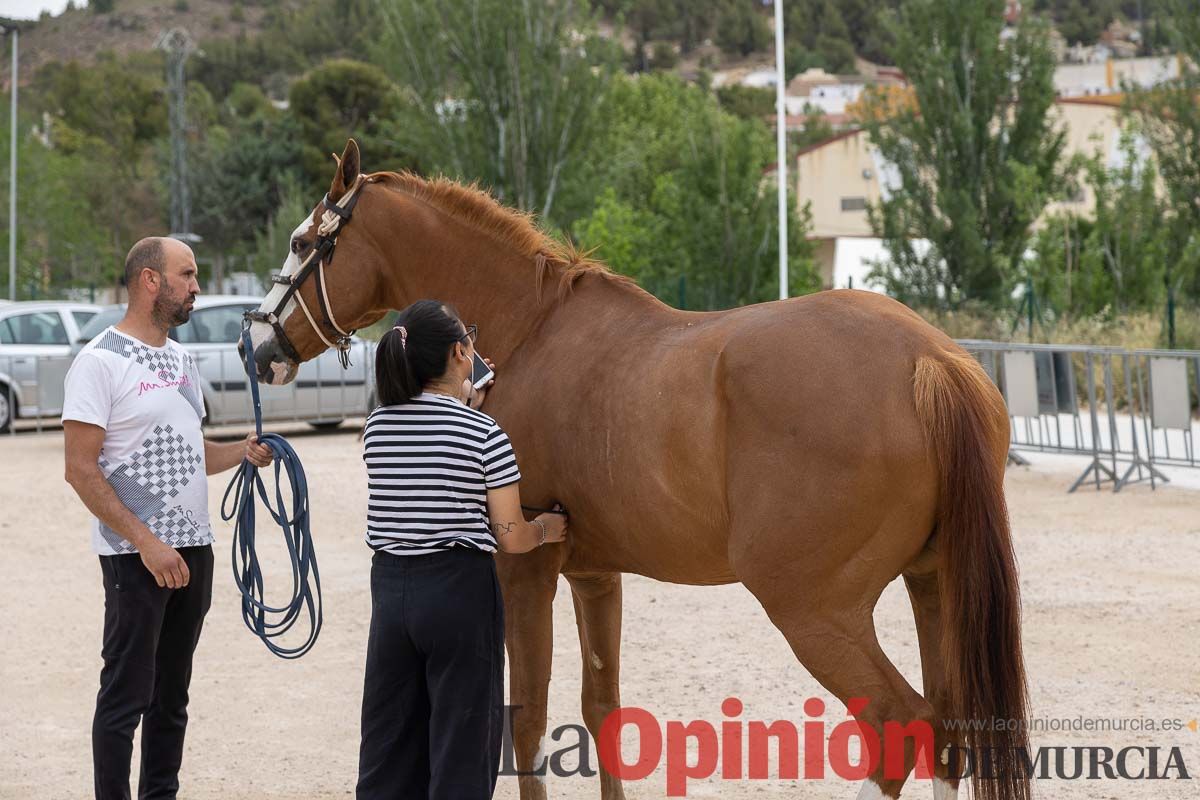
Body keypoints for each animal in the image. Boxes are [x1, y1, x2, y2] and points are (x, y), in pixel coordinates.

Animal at [246, 142, 1032, 800]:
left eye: (303, 243)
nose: (257, 348)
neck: (531, 332)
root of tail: (928, 359)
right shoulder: (595, 575)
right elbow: (602, 709)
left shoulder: (524, 571)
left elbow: (527, 719)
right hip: (934, 587)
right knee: (951, 731)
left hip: (814, 609)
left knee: (901, 725)